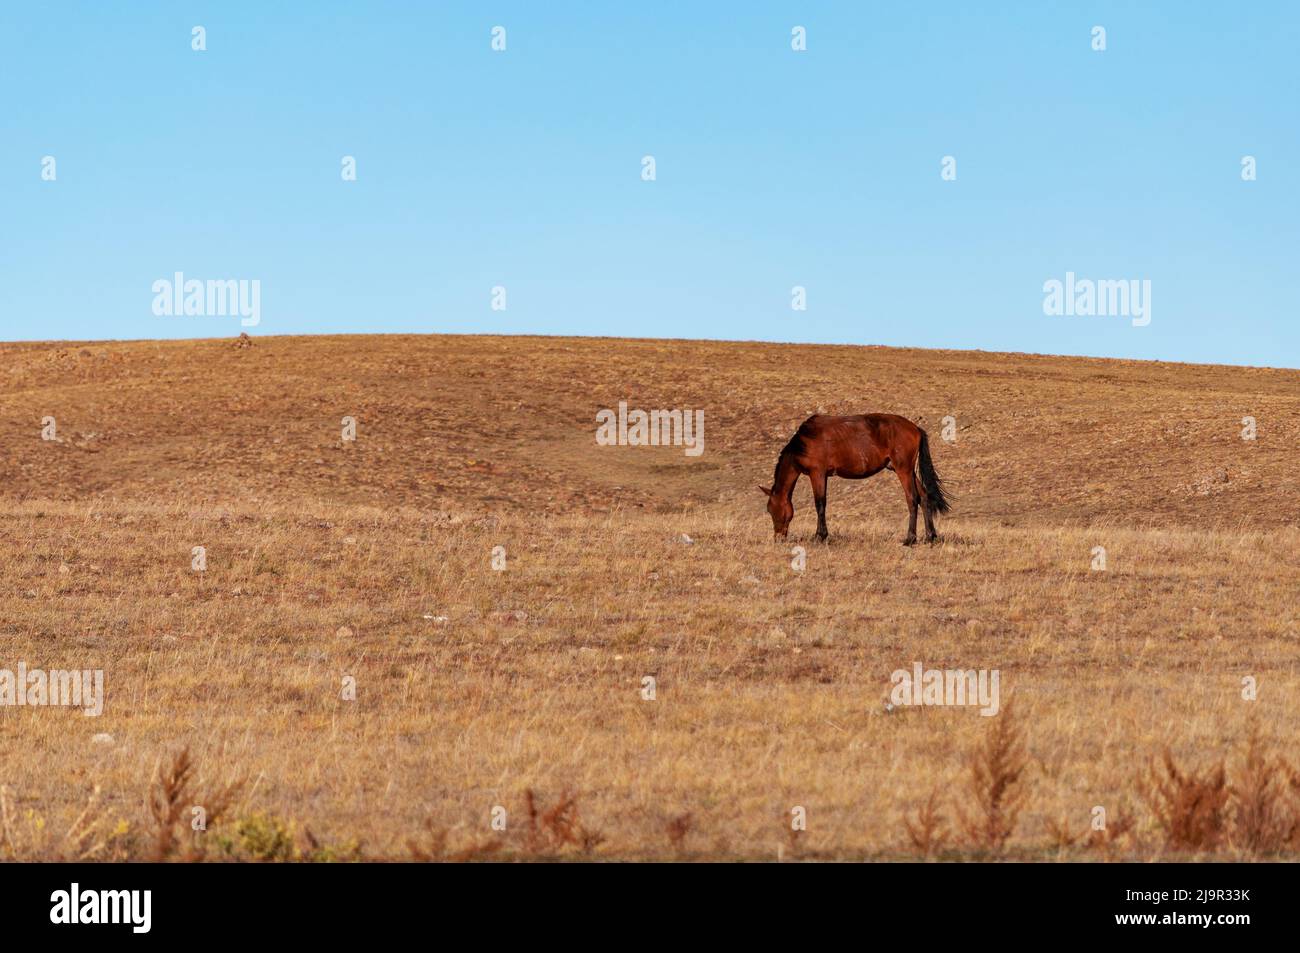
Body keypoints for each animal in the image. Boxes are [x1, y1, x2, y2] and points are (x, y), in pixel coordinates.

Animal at [759, 413, 951, 543]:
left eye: (771, 510)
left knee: (912, 499)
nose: (778, 538)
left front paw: (820, 536)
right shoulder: (822, 476)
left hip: (903, 470)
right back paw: (930, 536)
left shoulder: (817, 474)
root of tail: (915, 428)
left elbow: (820, 504)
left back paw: (910, 539)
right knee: (924, 497)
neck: (804, 442)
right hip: (908, 471)